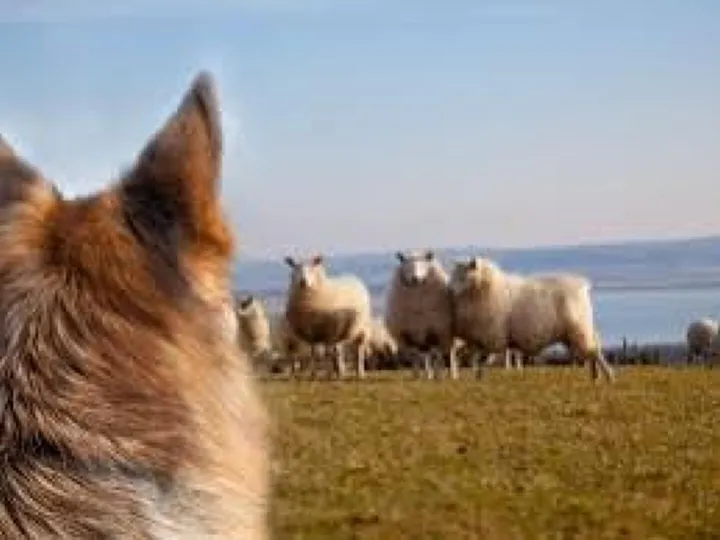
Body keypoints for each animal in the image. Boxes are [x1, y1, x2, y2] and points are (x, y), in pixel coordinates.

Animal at [385, 249, 458, 380]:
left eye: (423, 263)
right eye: (406, 264)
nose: (415, 279)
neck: (418, 304)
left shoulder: (437, 331)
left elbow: (438, 356)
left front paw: (438, 375)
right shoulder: (408, 335)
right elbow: (415, 357)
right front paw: (417, 375)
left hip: (446, 336)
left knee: (449, 354)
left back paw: (451, 374)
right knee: (425, 356)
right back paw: (428, 374)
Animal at [449, 256, 615, 382]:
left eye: (462, 276)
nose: (450, 290)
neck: (485, 287)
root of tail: (582, 285)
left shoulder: (492, 336)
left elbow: (482, 359)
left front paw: (479, 377)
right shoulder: (481, 337)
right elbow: (478, 359)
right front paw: (477, 378)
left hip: (579, 328)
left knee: (595, 351)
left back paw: (608, 376)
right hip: (576, 332)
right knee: (593, 349)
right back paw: (595, 377)